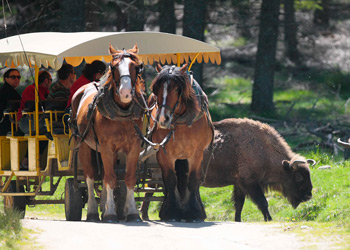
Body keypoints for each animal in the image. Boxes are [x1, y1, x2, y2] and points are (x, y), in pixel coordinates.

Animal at [71, 45, 145, 223]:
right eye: (114, 67)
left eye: (136, 67)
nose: (126, 92)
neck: (122, 114)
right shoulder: (106, 147)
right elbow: (110, 179)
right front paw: (110, 213)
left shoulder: (133, 148)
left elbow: (128, 178)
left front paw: (132, 212)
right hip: (83, 144)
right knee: (90, 177)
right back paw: (93, 212)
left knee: (104, 174)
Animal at [148, 63, 213, 222]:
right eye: (156, 89)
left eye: (177, 89)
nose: (163, 119)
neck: (181, 121)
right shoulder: (164, 154)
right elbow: (171, 180)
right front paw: (171, 211)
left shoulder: (196, 154)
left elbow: (193, 179)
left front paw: (193, 212)